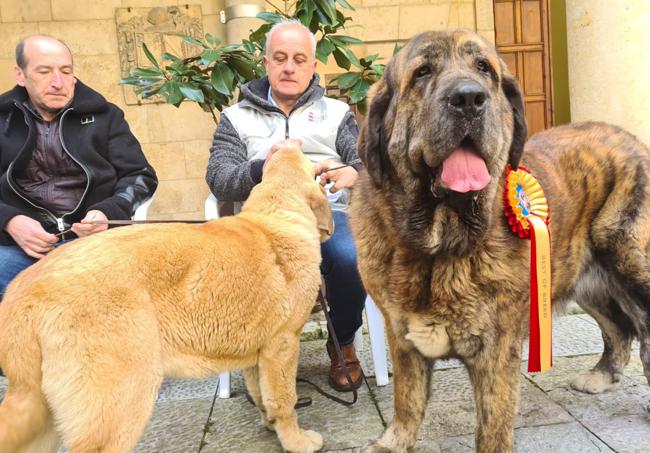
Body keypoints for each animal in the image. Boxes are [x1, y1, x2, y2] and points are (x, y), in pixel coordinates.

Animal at [0, 147, 332, 450]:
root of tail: (24, 291)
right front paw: (296, 441)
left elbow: (261, 396)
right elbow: (284, 400)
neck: (276, 211)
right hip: (122, 400)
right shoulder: (282, 345)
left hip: (40, 411)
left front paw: (271, 427)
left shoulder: (257, 352)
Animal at [350, 30, 648, 450]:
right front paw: (394, 441)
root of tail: (632, 139)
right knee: (619, 328)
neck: (439, 245)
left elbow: (492, 423)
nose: (469, 98)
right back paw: (601, 375)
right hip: (585, 276)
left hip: (629, 260)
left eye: (484, 70)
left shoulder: (496, 348)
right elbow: (406, 399)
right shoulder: (401, 334)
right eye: (422, 73)